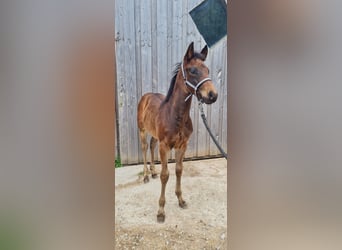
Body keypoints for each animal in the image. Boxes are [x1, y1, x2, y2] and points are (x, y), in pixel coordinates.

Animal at [136, 41, 216, 223]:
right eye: (192, 70)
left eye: (207, 70)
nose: (213, 95)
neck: (176, 116)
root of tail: (146, 96)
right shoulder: (165, 146)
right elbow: (165, 175)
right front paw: (160, 211)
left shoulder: (182, 145)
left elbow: (179, 170)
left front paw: (181, 200)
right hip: (142, 130)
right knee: (144, 147)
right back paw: (146, 175)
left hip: (154, 135)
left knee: (151, 146)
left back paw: (152, 172)